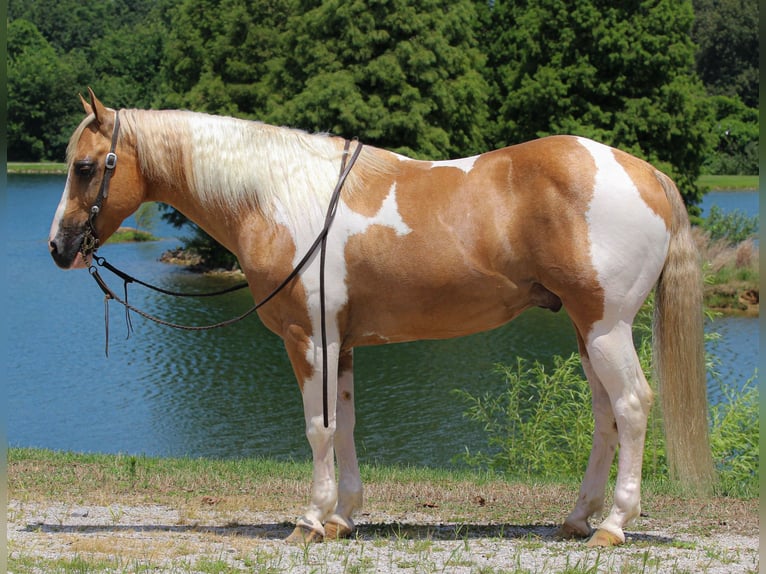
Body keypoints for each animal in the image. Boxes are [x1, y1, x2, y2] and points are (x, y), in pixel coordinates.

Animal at [49, 89, 713, 547]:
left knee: (631, 406)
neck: (279, 197)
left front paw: (308, 522)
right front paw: (342, 517)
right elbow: (342, 426)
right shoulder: (340, 344)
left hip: (606, 327)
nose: (59, 247)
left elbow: (317, 430)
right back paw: (577, 519)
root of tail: (646, 172)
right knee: (606, 416)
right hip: (585, 331)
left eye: (85, 166)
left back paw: (613, 525)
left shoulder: (308, 338)